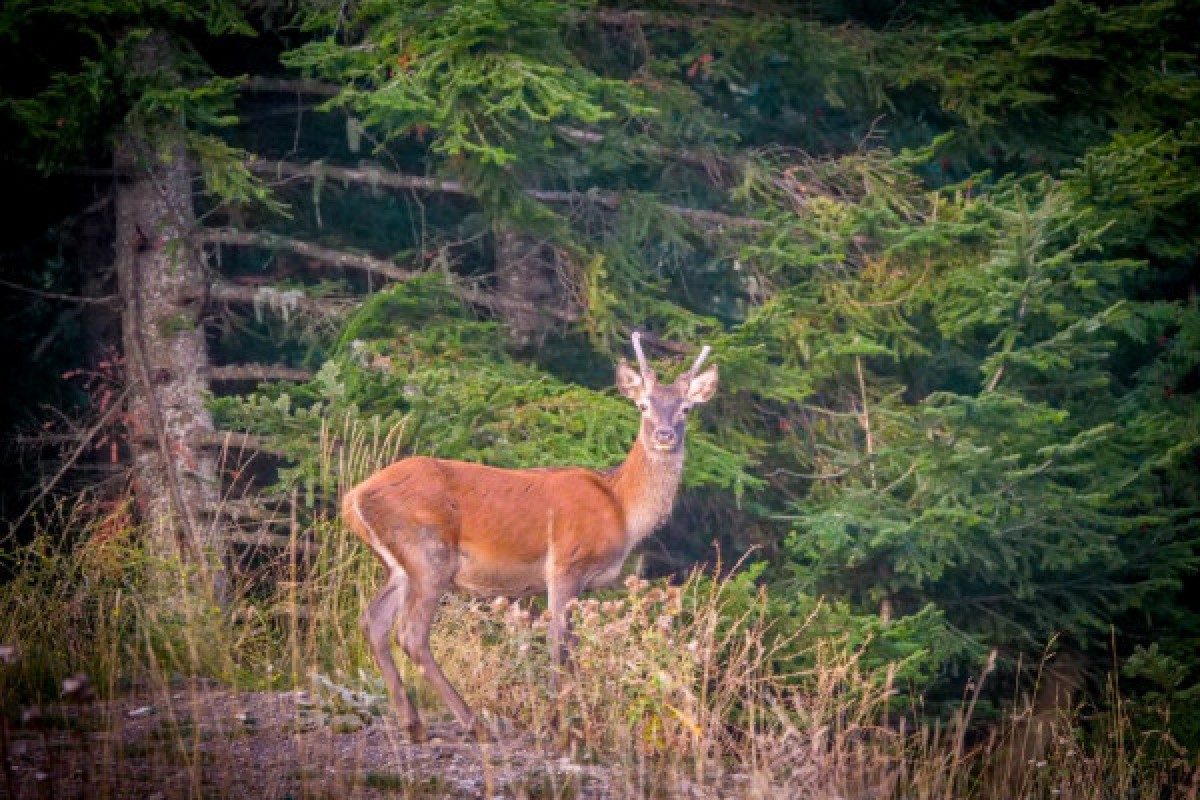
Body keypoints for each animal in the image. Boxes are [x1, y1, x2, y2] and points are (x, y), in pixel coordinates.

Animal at [341, 332, 718, 742]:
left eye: (686, 409)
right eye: (643, 404)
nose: (665, 435)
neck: (621, 508)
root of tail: (353, 498)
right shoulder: (566, 564)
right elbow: (559, 645)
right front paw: (561, 724)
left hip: (401, 565)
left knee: (373, 621)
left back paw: (413, 724)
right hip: (429, 551)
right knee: (411, 634)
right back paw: (474, 724)